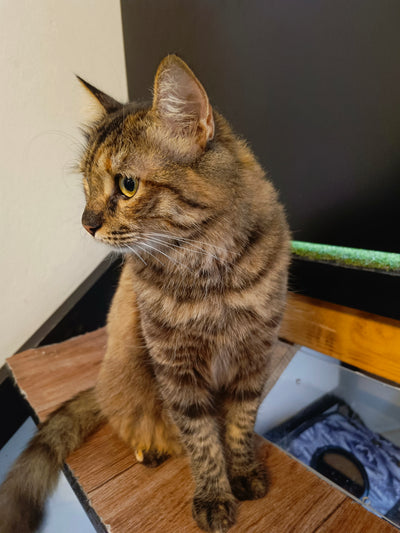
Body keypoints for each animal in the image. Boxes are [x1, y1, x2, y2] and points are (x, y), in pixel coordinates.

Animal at [0, 55, 290, 533]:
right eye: (85, 185)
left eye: (127, 185)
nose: (86, 223)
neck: (209, 272)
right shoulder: (178, 370)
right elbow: (203, 441)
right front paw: (214, 496)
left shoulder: (253, 355)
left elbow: (239, 426)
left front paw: (245, 472)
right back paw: (149, 449)